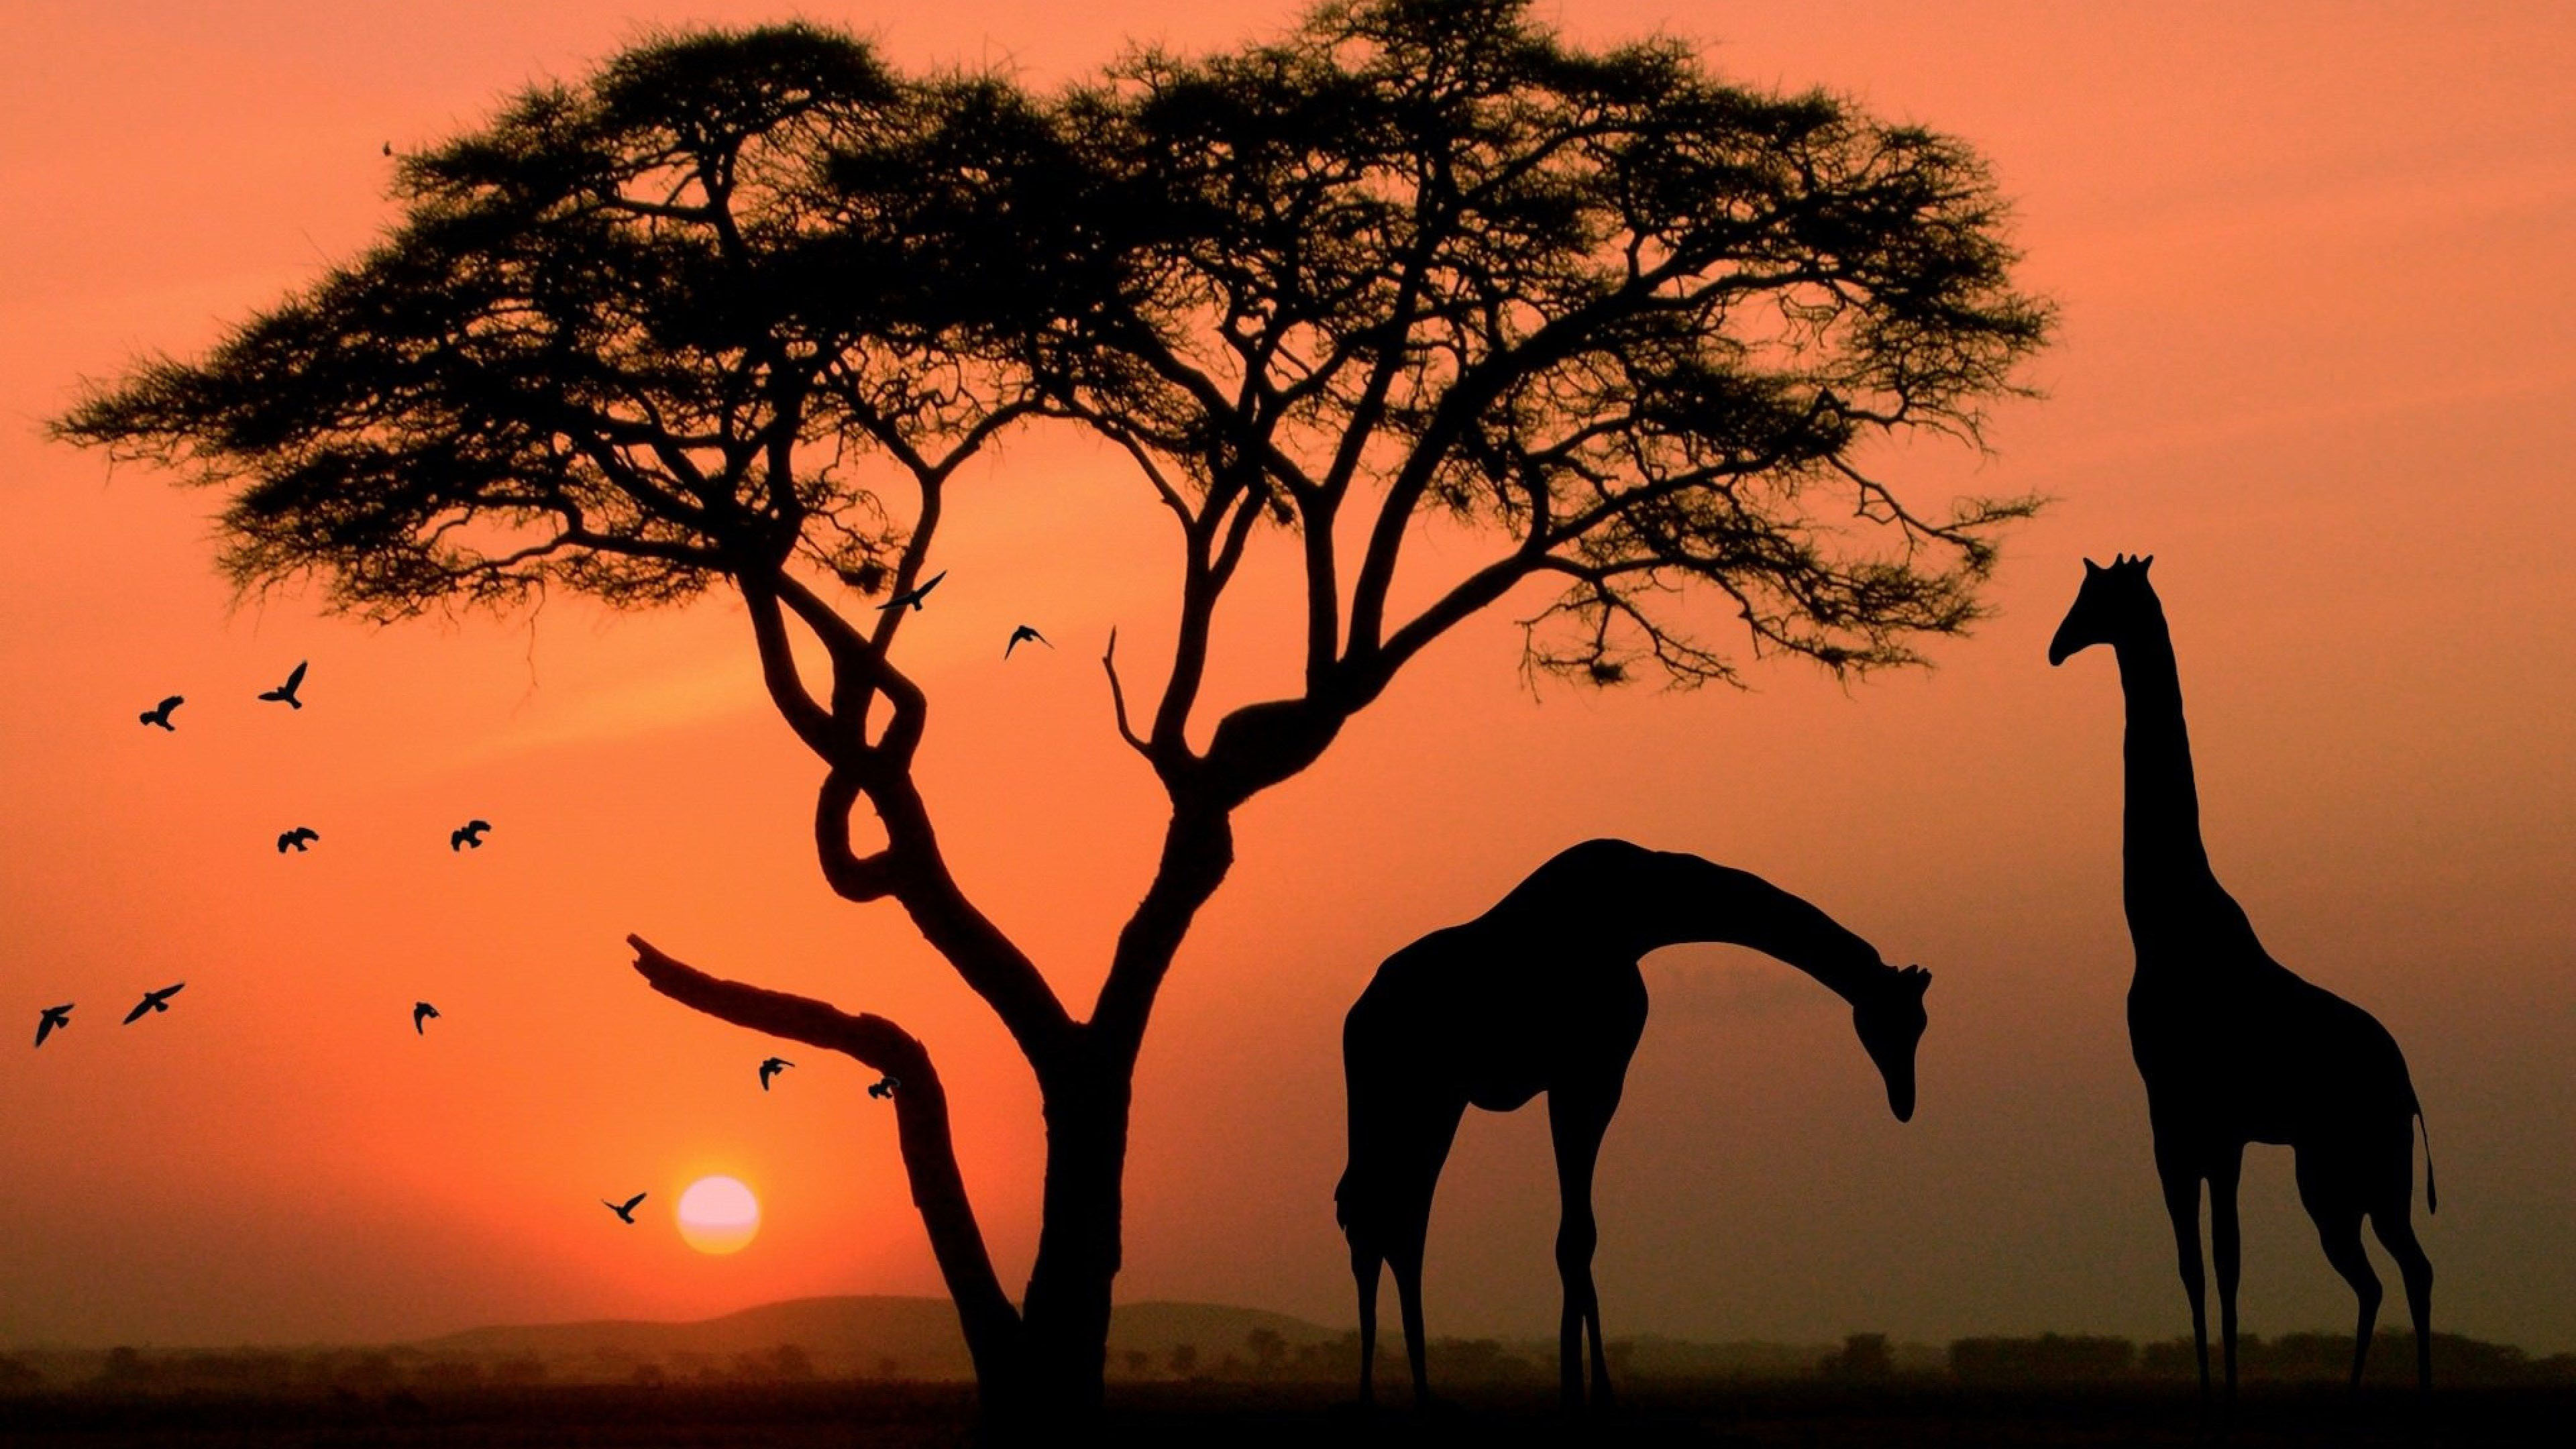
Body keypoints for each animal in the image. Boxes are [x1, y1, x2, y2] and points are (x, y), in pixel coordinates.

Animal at [1334, 837, 1931, 1410]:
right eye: (1899, 1021)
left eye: (1920, 1024)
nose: (1905, 1100)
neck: (1644, 914)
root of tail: (1356, 1018)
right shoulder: (1589, 1078)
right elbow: (1578, 1234)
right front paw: (1592, 1391)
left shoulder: (1584, 1081)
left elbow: (1578, 1234)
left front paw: (1581, 1386)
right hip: (1419, 1097)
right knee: (1389, 1219)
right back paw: (1397, 1392)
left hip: (1409, 1103)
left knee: (1378, 1216)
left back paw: (1397, 1392)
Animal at [2049, 554, 2436, 1396]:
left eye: (2098, 598)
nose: (2056, 647)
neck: (2160, 924)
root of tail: (2408, 1085)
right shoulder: (2174, 1119)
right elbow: (2194, 1268)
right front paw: (2209, 1387)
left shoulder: (2213, 1124)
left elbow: (2224, 1264)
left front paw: (2223, 1390)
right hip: (2328, 1173)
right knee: (2377, 1276)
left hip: (2367, 1164)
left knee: (2411, 1268)